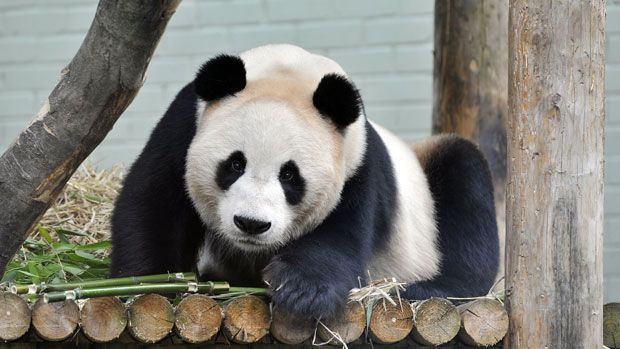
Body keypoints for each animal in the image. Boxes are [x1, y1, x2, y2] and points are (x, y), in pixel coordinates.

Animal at [111, 43, 498, 318]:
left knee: (465, 182)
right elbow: (153, 204)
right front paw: (146, 284)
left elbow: (340, 232)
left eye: (289, 175)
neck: (290, 71)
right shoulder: (184, 126)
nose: (251, 224)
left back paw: (427, 289)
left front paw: (301, 291)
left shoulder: (356, 161)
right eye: (234, 164)